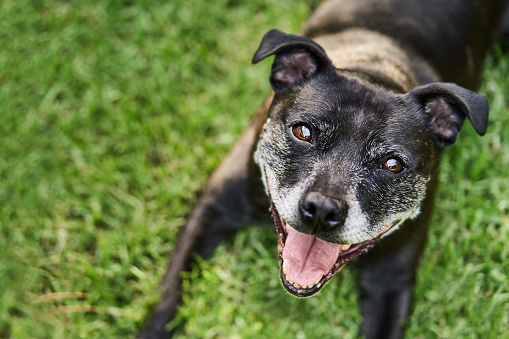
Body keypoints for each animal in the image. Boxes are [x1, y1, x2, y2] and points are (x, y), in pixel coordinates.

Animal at [140, 1, 508, 338]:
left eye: (393, 164)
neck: (375, 70)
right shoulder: (213, 208)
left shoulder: (390, 283)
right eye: (303, 131)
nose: (322, 210)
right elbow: (171, 290)